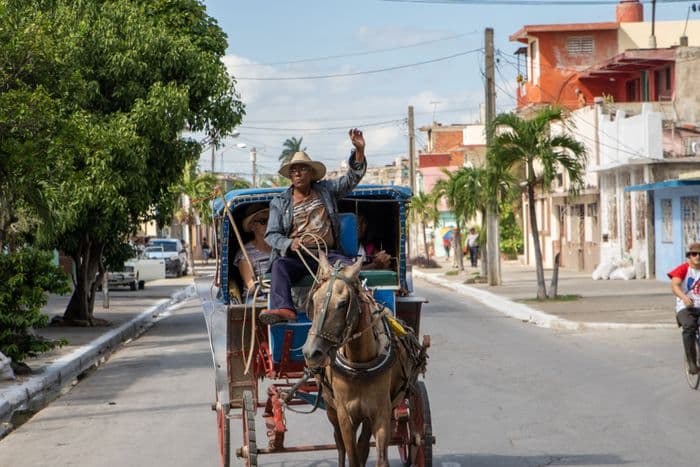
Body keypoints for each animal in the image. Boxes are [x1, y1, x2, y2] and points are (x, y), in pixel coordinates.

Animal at [302, 252, 426, 467]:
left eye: (343, 303)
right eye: (314, 301)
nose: (311, 353)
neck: (359, 366)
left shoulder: (381, 413)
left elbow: (378, 457)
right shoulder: (344, 415)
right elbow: (351, 455)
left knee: (363, 445)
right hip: (330, 406)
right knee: (340, 444)